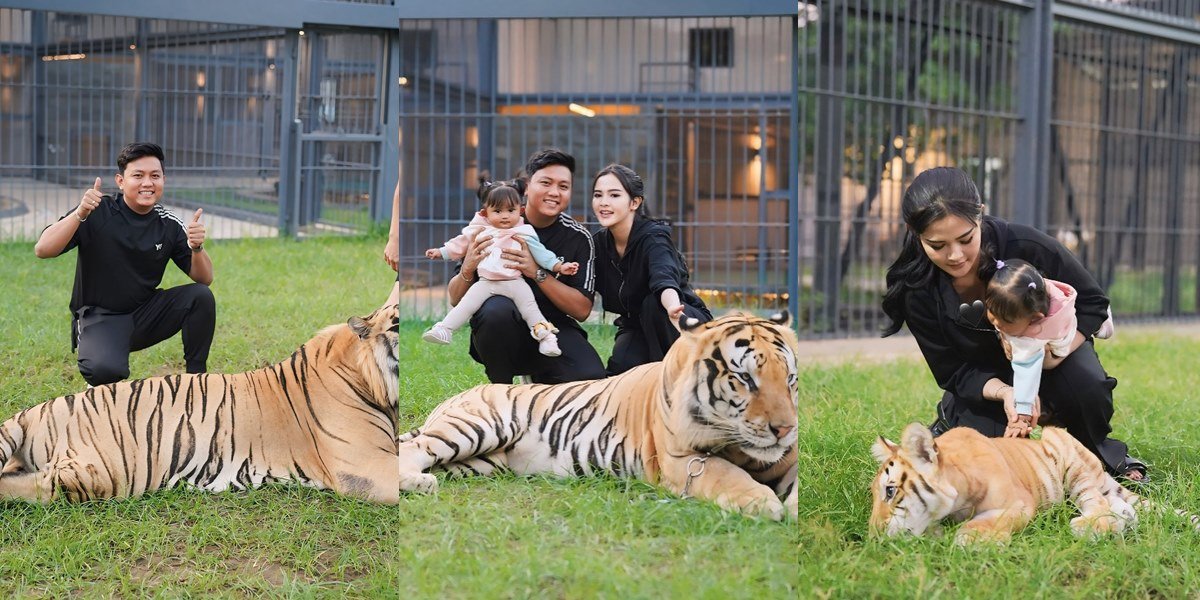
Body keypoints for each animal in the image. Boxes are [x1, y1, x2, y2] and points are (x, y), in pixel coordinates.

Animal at [398, 312, 801, 518]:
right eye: (745, 378)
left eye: (790, 379)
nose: (784, 429)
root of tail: (455, 398)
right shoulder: (681, 459)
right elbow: (725, 474)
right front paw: (766, 503)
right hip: (477, 427)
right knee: (413, 449)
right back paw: (419, 484)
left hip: (483, 462)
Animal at [873, 422, 1200, 544]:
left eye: (890, 491)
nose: (873, 532)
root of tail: (1099, 467)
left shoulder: (1019, 504)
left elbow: (987, 523)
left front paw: (973, 540)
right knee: (1120, 506)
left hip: (1067, 452)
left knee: (1098, 503)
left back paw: (1087, 527)